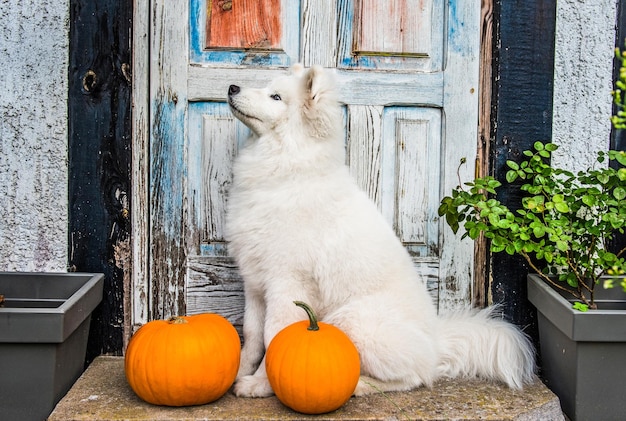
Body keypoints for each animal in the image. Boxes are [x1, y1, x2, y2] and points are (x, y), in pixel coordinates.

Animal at [224, 64, 532, 396]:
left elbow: (274, 337)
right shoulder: (256, 284)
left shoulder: (287, 284)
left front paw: (259, 385)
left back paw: (360, 385)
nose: (232, 87)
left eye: (276, 97)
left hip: (352, 320)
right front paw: (237, 371)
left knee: (413, 378)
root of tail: (437, 342)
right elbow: (252, 335)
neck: (287, 171)